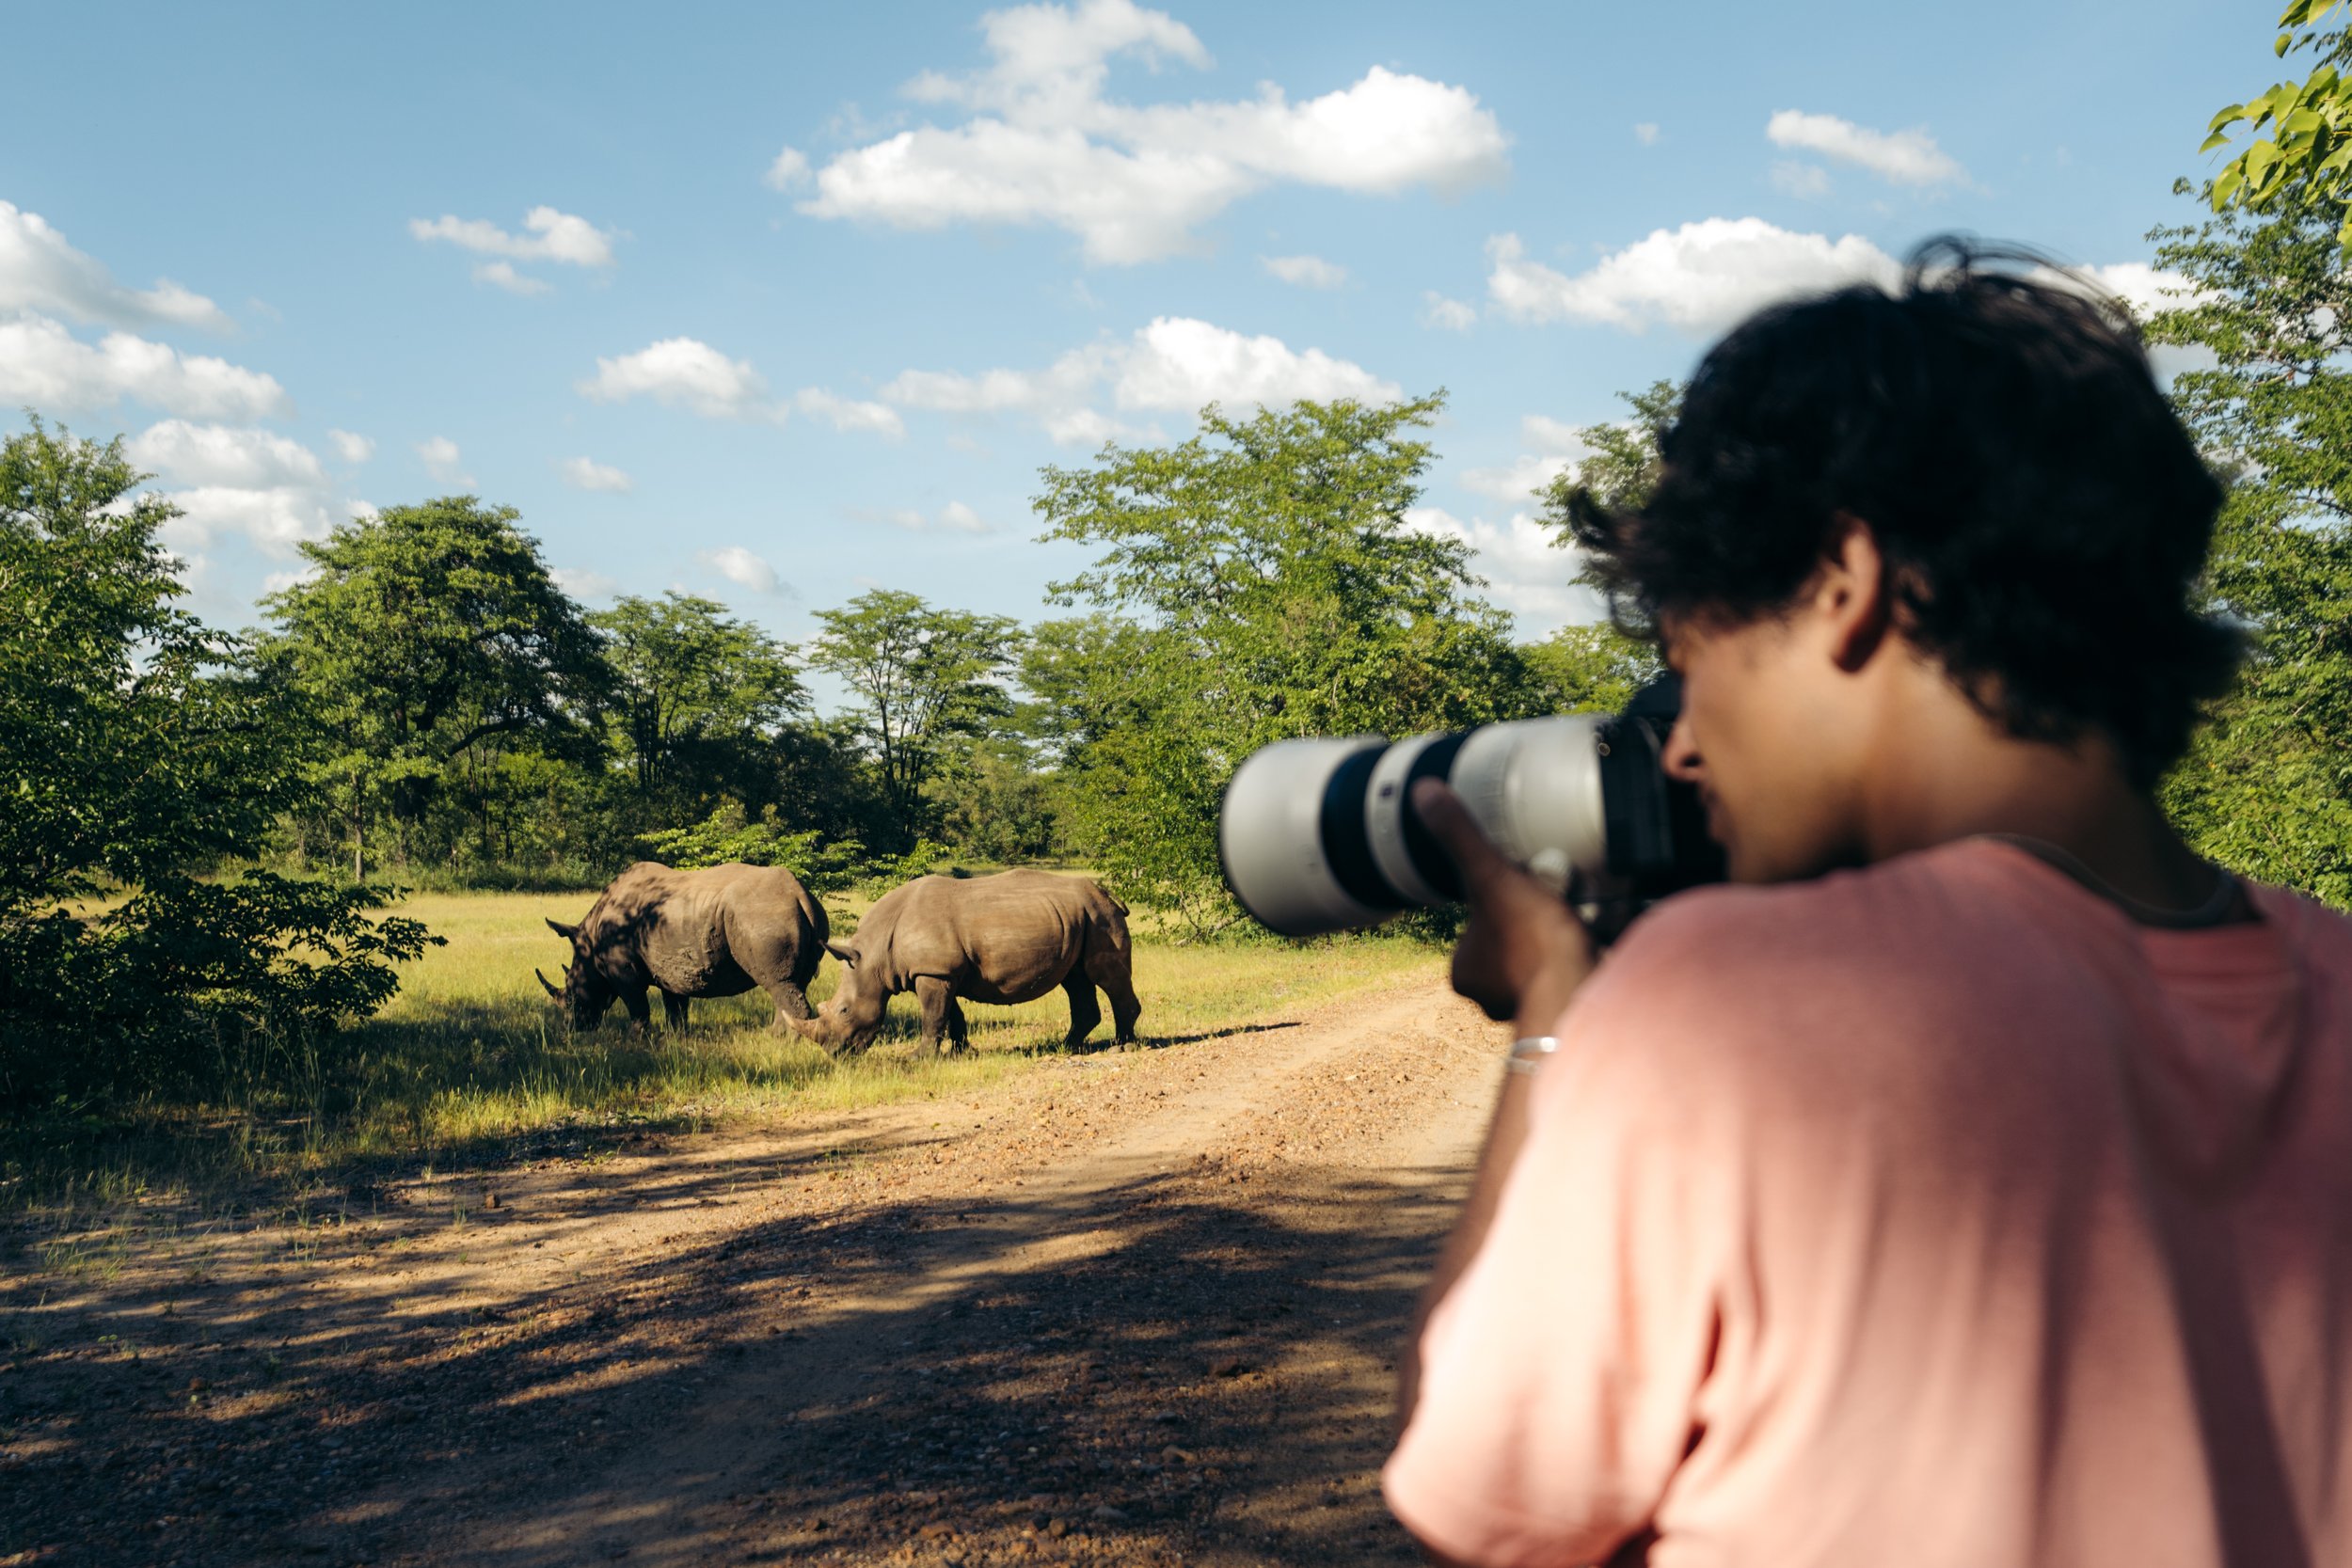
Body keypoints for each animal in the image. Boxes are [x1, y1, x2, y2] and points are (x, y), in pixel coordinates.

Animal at [537, 860, 829, 1035]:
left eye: (571, 995)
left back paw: (779, 1039)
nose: (571, 1028)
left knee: (778, 983)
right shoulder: (670, 966)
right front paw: (676, 1036)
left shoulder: (622, 970)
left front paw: (637, 1039)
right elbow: (675, 1005)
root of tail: (799, 894)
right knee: (795, 983)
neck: (589, 946)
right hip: (793, 913)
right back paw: (781, 1036)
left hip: (761, 915)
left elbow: (637, 1005)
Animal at [786, 869, 1139, 1057]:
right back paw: (1065, 1048)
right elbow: (950, 1014)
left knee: (1105, 977)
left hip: (1099, 917)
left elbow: (932, 1016)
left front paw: (919, 1058)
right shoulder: (941, 972)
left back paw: (1122, 1048)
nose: (834, 1054)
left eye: (844, 1010)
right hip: (1081, 917)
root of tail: (1107, 893)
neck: (873, 956)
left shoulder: (934, 972)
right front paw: (961, 1052)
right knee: (1077, 980)